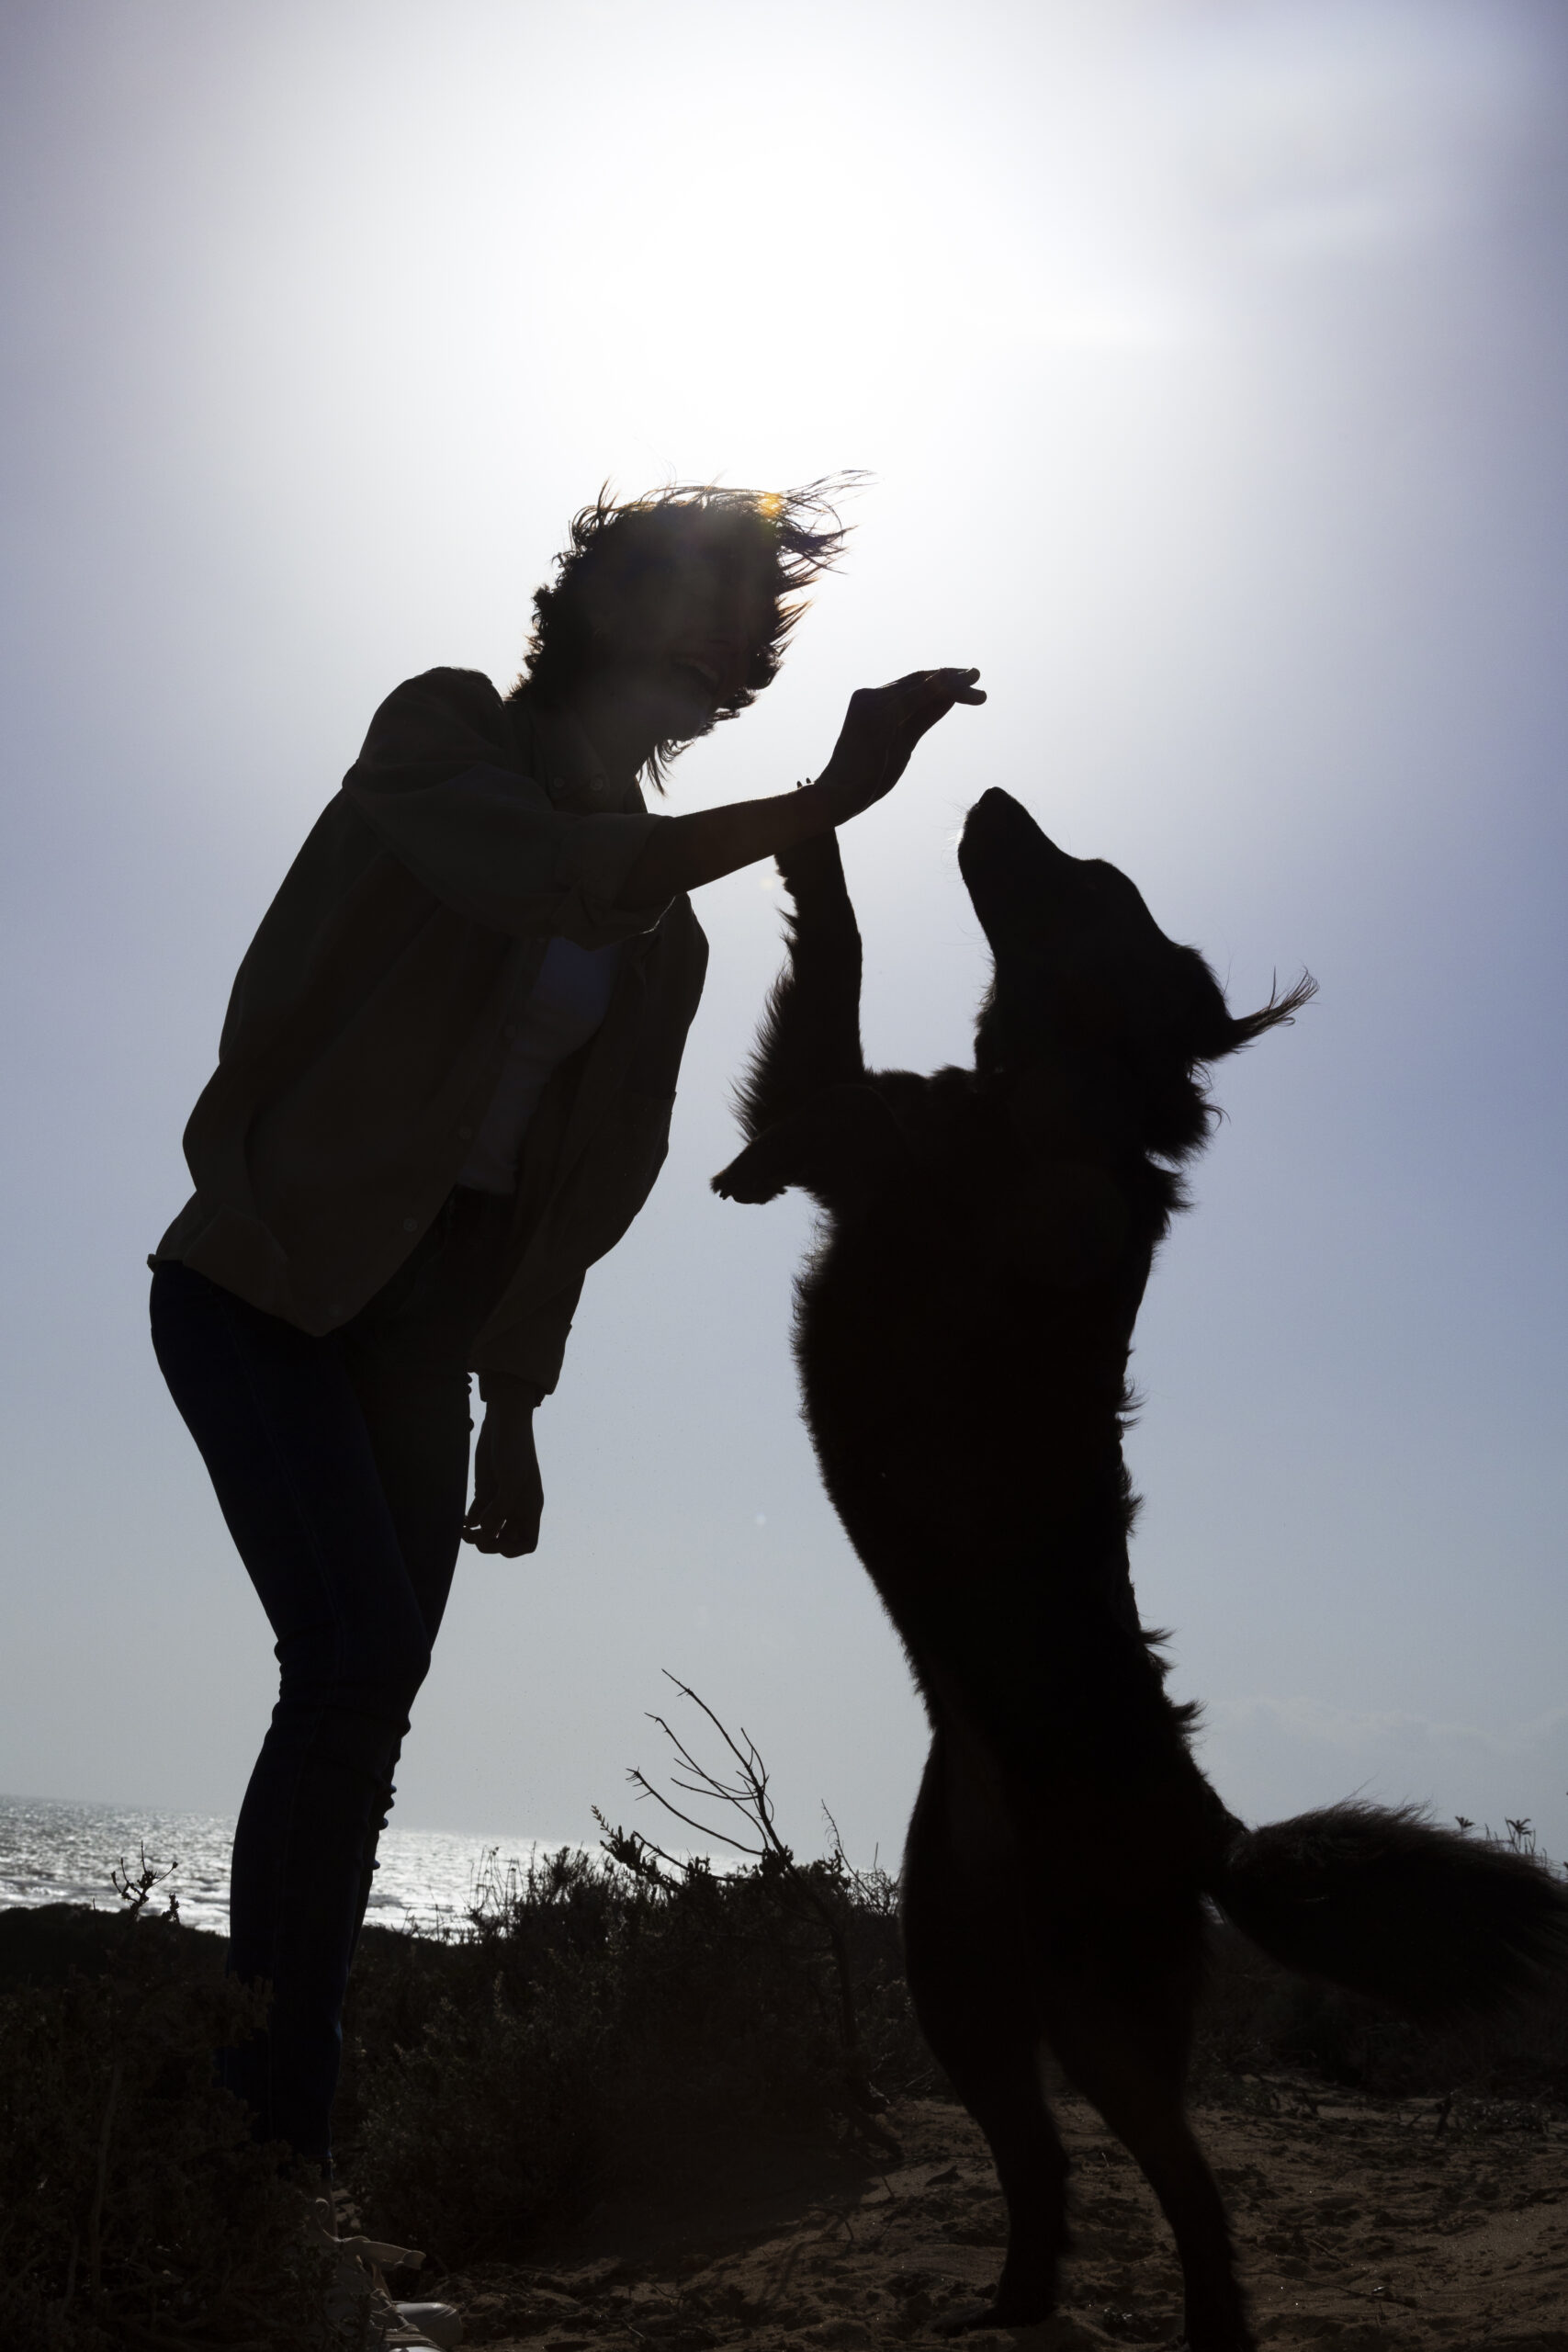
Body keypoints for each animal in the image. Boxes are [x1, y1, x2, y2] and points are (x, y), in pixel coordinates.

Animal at [715, 795, 1568, 2352]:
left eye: (1094, 883)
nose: (991, 801)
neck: (1045, 1091)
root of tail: (1204, 1825)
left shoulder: (962, 1182)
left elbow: (855, 1009)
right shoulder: (855, 1126)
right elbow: (828, 1017)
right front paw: (815, 821)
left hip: (1095, 2009)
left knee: (1187, 2189)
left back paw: (1201, 2322)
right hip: (957, 1982)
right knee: (1041, 2165)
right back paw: (1007, 2307)